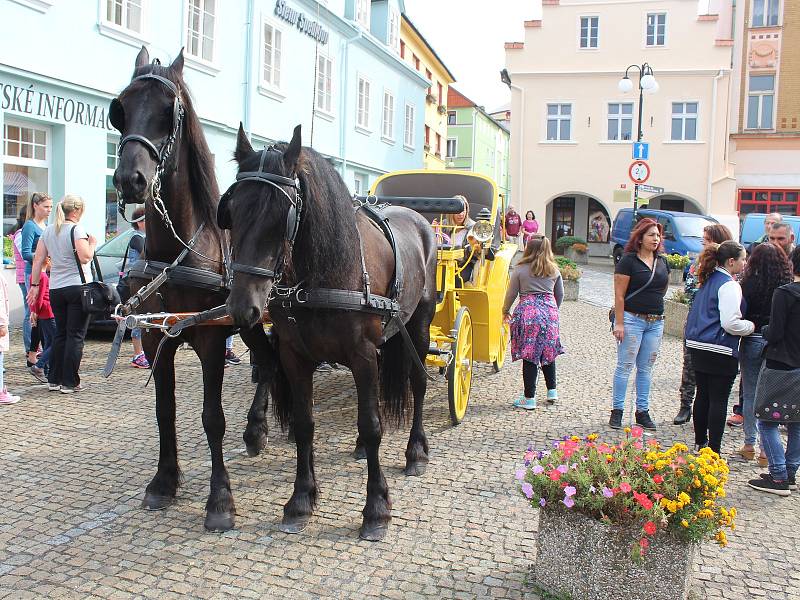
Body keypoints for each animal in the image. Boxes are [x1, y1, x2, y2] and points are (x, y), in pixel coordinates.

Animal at [111, 49, 276, 532]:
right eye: (121, 108)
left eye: (170, 112)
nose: (131, 179)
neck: (178, 251)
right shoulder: (155, 336)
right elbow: (164, 410)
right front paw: (164, 481)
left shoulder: (209, 339)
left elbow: (211, 417)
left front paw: (220, 499)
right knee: (268, 363)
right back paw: (259, 427)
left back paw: (257, 427)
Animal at [223, 125, 438, 540]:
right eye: (231, 210)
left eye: (283, 215)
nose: (243, 308)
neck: (320, 277)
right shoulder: (295, 356)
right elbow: (305, 423)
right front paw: (301, 499)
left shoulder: (363, 354)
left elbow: (373, 426)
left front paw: (376, 508)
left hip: (418, 324)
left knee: (418, 382)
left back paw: (416, 451)